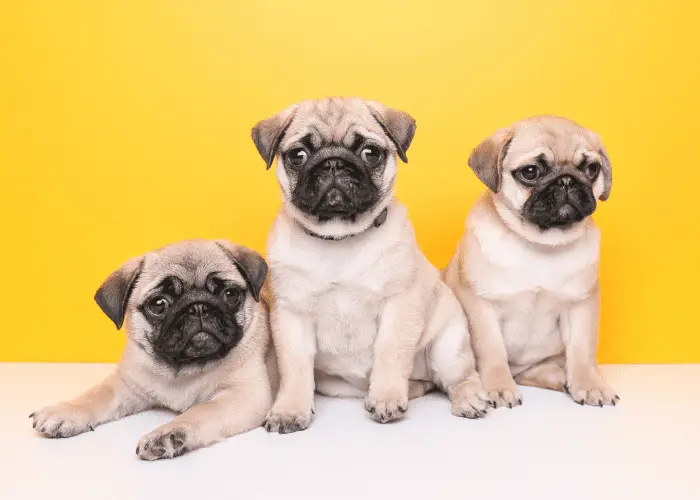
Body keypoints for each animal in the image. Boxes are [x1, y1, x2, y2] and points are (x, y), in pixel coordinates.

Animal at [29, 240, 274, 458]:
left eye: (230, 295)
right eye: (158, 304)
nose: (198, 307)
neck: (183, 369)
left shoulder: (244, 395)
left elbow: (201, 411)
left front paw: (168, 435)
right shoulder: (125, 385)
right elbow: (95, 395)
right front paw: (64, 411)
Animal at [250, 97, 486, 434]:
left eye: (370, 153)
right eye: (298, 156)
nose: (333, 163)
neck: (339, 239)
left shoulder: (399, 305)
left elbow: (390, 351)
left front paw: (386, 397)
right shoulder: (292, 314)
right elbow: (294, 368)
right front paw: (289, 411)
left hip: (448, 347)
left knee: (460, 377)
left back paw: (466, 398)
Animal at [446, 116, 620, 406]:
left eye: (591, 169)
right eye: (530, 172)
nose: (566, 181)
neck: (540, 243)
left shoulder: (581, 304)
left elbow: (582, 351)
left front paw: (589, 384)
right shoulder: (481, 305)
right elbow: (492, 350)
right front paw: (498, 386)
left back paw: (565, 380)